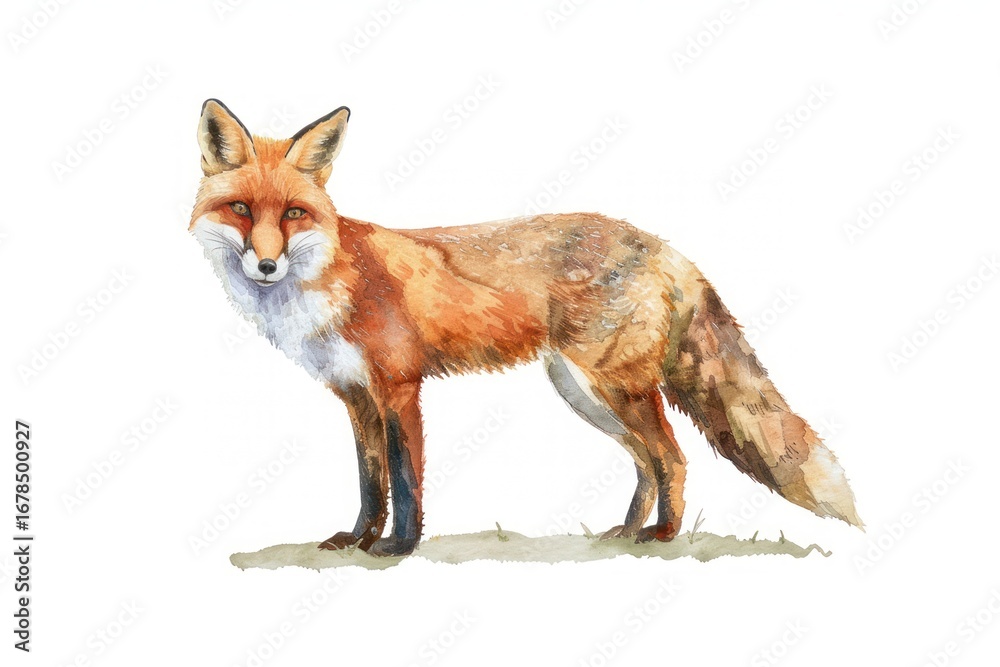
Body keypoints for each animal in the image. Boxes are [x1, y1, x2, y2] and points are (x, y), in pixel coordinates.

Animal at [189, 99, 862, 557]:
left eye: (293, 213)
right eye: (241, 209)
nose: (266, 265)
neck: (328, 279)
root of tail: (662, 245)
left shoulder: (399, 388)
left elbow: (404, 481)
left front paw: (398, 548)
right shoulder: (356, 396)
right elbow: (369, 483)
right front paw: (355, 540)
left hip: (614, 388)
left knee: (672, 458)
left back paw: (664, 535)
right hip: (584, 394)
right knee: (647, 463)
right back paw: (628, 530)